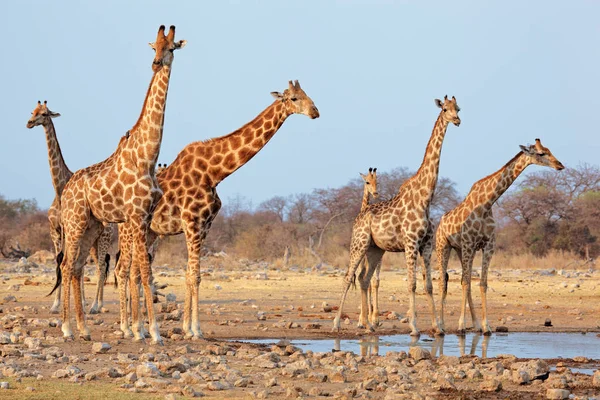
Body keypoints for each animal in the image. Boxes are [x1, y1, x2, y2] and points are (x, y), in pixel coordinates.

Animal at [25, 101, 115, 314]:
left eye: (44, 114)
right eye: (32, 111)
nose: (29, 123)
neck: (59, 189)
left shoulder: (70, 230)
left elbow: (68, 264)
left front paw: (72, 303)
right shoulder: (56, 230)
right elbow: (60, 262)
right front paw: (57, 304)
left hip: (104, 238)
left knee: (101, 266)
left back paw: (96, 305)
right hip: (93, 241)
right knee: (93, 264)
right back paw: (91, 302)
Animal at [53, 25, 185, 344]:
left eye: (171, 47)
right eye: (154, 47)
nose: (156, 63)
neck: (148, 155)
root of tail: (67, 189)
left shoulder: (145, 217)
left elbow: (139, 271)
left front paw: (140, 329)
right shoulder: (136, 216)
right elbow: (143, 272)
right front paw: (151, 332)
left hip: (92, 225)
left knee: (77, 267)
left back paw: (84, 329)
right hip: (74, 223)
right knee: (66, 265)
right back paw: (66, 328)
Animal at [113, 79, 318, 340]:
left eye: (307, 94)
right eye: (293, 98)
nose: (315, 112)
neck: (215, 173)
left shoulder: (204, 227)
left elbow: (190, 274)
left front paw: (186, 328)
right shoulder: (192, 223)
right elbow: (195, 275)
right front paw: (196, 330)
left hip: (149, 232)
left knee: (133, 272)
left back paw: (134, 327)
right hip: (129, 230)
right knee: (123, 270)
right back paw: (128, 328)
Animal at [332, 96, 460, 334]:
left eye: (458, 108)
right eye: (445, 109)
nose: (457, 120)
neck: (425, 198)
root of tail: (359, 216)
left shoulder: (426, 245)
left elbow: (428, 285)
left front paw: (438, 328)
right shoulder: (410, 243)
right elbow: (412, 284)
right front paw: (414, 327)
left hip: (375, 249)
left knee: (364, 279)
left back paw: (369, 326)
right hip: (359, 243)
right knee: (347, 277)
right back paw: (336, 324)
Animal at [436, 139, 564, 336]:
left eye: (549, 150)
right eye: (541, 153)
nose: (560, 165)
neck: (487, 203)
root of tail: (439, 224)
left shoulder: (487, 245)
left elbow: (482, 283)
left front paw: (486, 326)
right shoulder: (469, 243)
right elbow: (465, 283)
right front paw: (460, 326)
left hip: (460, 249)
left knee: (465, 281)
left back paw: (475, 324)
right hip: (444, 246)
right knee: (444, 282)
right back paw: (441, 326)